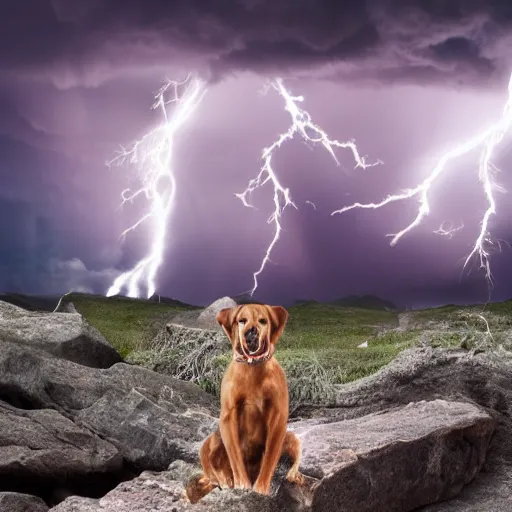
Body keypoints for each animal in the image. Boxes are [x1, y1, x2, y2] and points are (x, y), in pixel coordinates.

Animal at [185, 302, 302, 502]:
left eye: (263, 321)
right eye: (241, 320)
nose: (251, 331)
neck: (252, 368)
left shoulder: (278, 419)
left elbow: (269, 459)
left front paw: (260, 489)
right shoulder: (228, 417)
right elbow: (235, 458)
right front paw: (242, 485)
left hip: (291, 437)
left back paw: (293, 476)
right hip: (212, 441)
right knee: (213, 472)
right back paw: (225, 482)